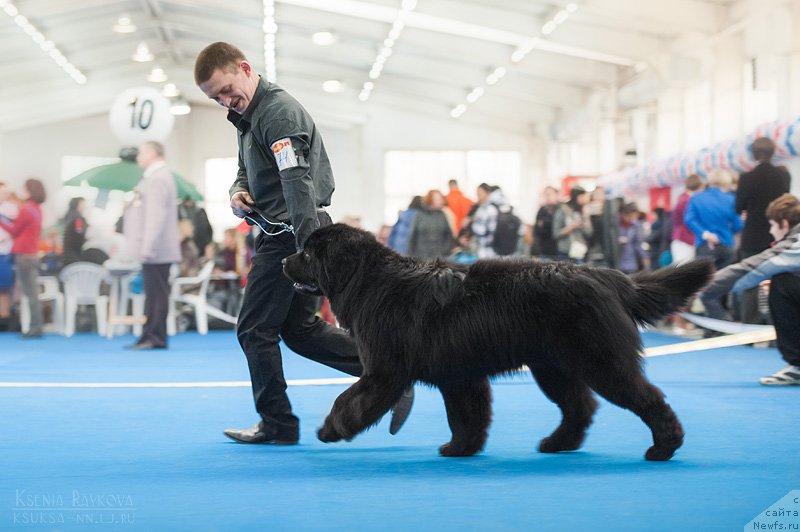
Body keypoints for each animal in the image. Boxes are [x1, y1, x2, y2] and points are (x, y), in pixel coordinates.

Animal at [282, 222, 712, 460]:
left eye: (308, 253)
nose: (284, 261)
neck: (369, 280)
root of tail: (607, 276)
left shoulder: (385, 372)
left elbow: (349, 400)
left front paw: (330, 429)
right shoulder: (458, 375)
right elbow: (467, 415)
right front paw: (461, 448)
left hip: (601, 361)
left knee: (647, 399)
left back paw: (663, 448)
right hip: (552, 366)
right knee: (580, 406)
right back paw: (558, 443)